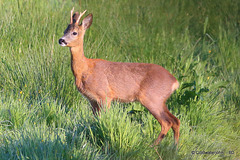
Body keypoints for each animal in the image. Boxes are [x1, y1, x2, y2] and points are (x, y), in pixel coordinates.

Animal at [58, 7, 180, 145]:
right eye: (65, 30)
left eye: (74, 33)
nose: (61, 40)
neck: (85, 69)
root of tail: (175, 82)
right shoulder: (92, 100)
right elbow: (95, 120)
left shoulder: (105, 95)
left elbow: (103, 119)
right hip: (160, 100)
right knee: (175, 120)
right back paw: (174, 146)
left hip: (152, 98)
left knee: (166, 122)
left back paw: (153, 146)